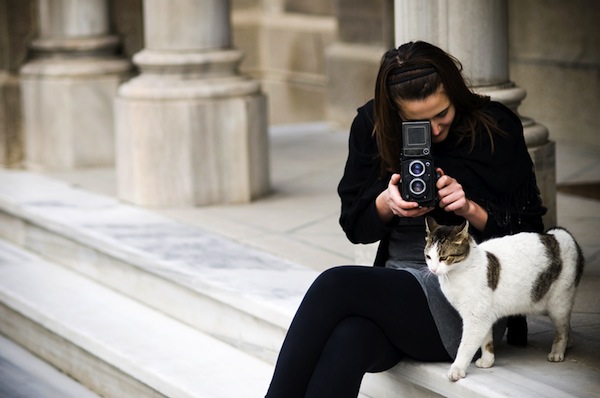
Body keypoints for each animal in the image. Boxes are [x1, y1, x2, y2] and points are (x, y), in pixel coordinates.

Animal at [424, 218, 584, 382]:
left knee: (561, 328)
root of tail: (561, 235)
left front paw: (457, 369)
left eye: (443, 258)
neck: (459, 272)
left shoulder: (475, 318)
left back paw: (558, 351)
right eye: (428, 257)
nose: (433, 270)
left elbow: (465, 346)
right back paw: (569, 342)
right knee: (566, 323)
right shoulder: (484, 315)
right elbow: (486, 340)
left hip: (558, 303)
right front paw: (487, 360)